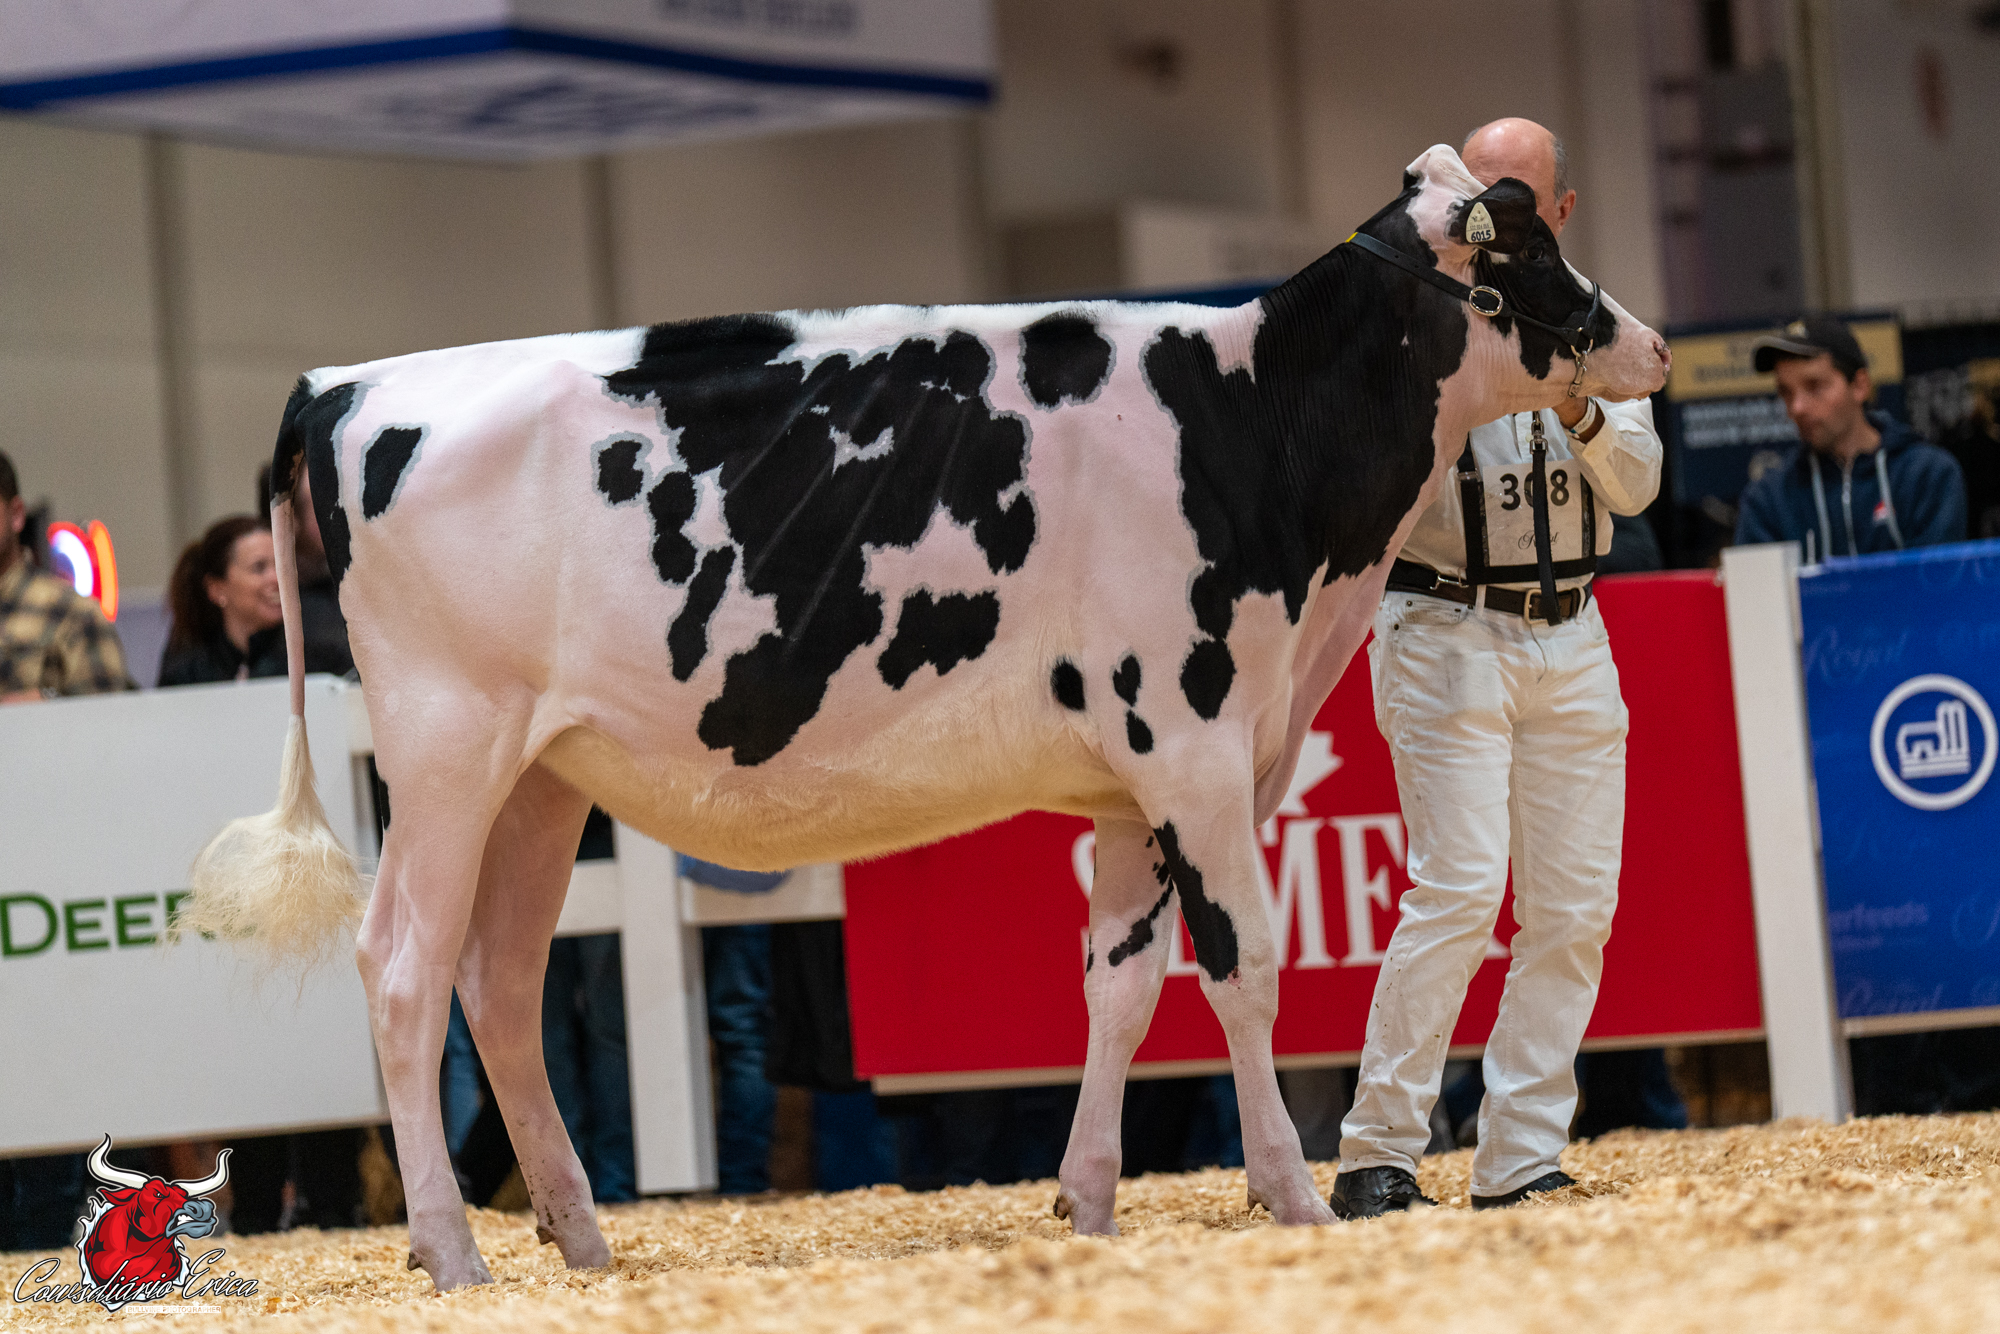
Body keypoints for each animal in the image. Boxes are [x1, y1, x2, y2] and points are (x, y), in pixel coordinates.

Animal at [183, 144, 1668, 1290]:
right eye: (1531, 245)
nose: (1651, 345)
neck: (1252, 426)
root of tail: (342, 382)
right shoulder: (1193, 743)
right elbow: (1243, 967)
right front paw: (1292, 1194)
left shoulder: (1139, 779)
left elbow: (1120, 984)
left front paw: (1087, 1197)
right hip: (447, 746)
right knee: (402, 964)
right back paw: (452, 1249)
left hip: (542, 777)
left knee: (497, 978)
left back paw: (579, 1235)